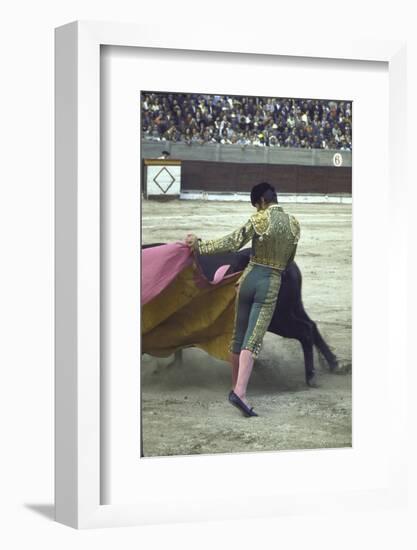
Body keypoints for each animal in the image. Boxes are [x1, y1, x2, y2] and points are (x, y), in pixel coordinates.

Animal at [141, 244, 336, 386]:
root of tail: (287, 266)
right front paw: (170, 367)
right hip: (293, 307)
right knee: (311, 325)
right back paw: (334, 364)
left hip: (277, 318)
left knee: (304, 331)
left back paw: (310, 377)